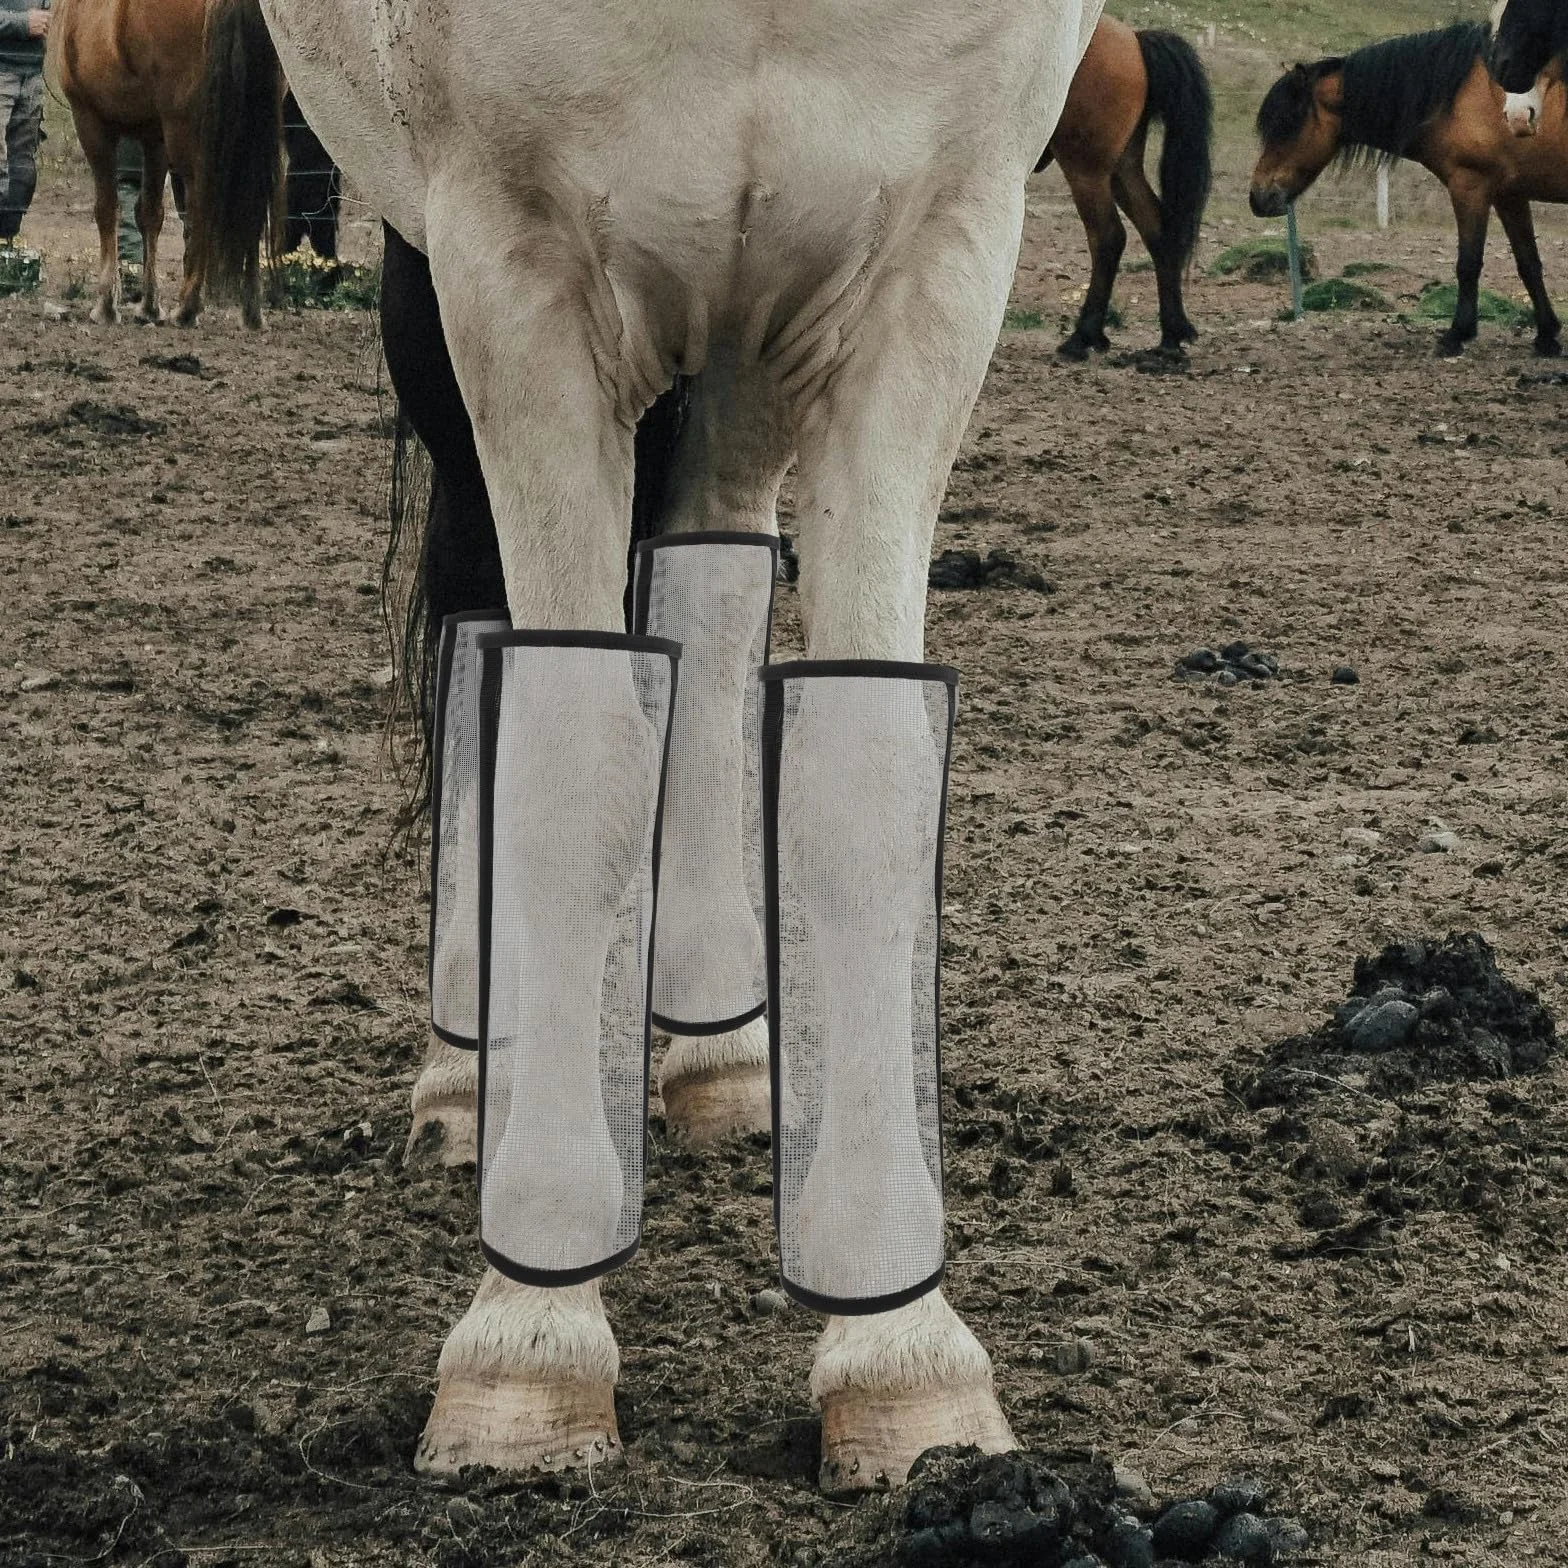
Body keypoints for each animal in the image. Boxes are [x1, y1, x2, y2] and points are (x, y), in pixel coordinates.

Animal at [51, 0, 279, 327]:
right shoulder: (154, 139)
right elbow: (150, 214)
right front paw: (149, 306)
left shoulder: (91, 124)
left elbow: (107, 210)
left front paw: (106, 305)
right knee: (251, 208)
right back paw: (252, 311)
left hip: (191, 139)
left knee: (201, 206)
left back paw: (188, 307)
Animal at [191, 0, 1104, 1494]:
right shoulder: (514, 268)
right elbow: (567, 776)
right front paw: (530, 1343)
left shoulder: (932, 267)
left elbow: (864, 794)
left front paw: (900, 1352)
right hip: (434, 274)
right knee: (484, 607)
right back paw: (470, 1074)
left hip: (753, 327)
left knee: (711, 577)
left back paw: (719, 1054)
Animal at [1036, 16, 1212, 360]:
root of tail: (1133, 38)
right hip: (1122, 170)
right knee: (1157, 230)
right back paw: (1171, 334)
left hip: (1087, 171)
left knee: (1108, 237)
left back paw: (1084, 336)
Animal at [1252, 22, 1564, 358]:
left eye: (1287, 124)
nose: (1258, 197)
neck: (1464, 96)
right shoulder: (1509, 196)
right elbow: (1528, 264)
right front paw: (1547, 335)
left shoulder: (1470, 188)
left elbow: (1468, 264)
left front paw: (1457, 334)